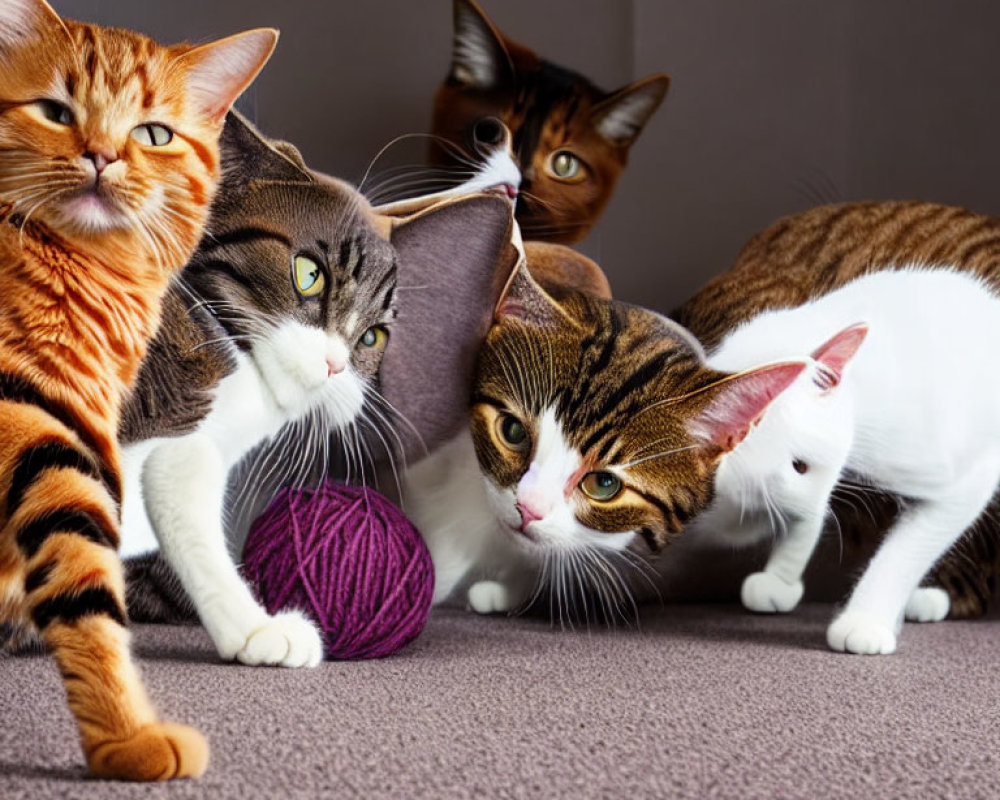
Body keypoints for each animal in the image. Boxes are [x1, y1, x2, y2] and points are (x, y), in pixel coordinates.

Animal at [0, 0, 276, 780]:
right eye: (56, 111)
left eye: (153, 133)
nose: (101, 155)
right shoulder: (41, 425)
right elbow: (86, 589)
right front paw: (125, 737)